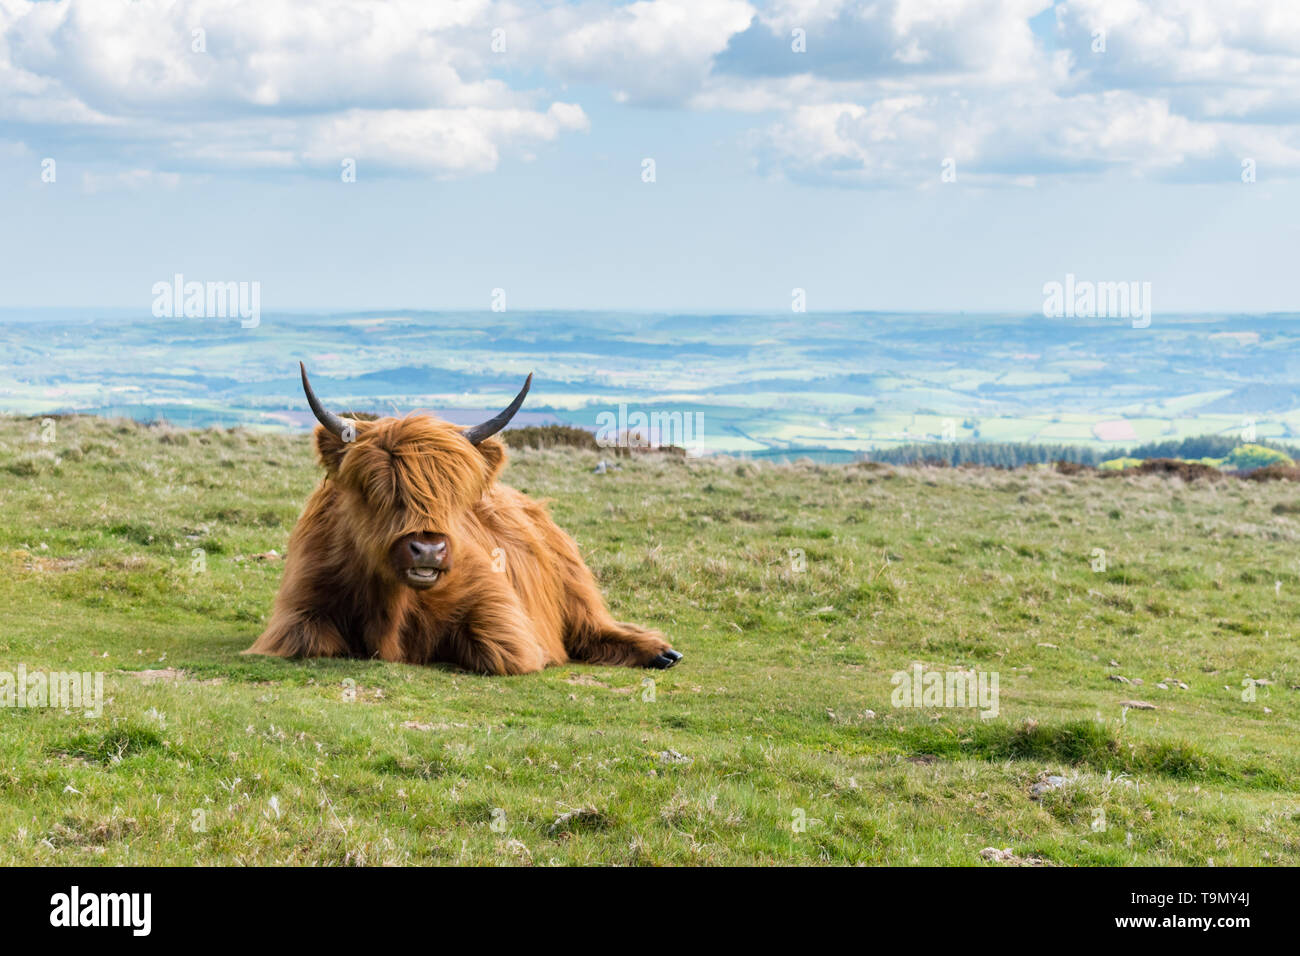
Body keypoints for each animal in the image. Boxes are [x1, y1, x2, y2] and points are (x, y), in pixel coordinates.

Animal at [244, 364, 682, 675]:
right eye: (374, 489)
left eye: (455, 494)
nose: (428, 549)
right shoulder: (298, 611)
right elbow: (313, 639)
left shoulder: (500, 611)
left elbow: (497, 651)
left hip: (574, 585)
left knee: (592, 625)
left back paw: (660, 652)